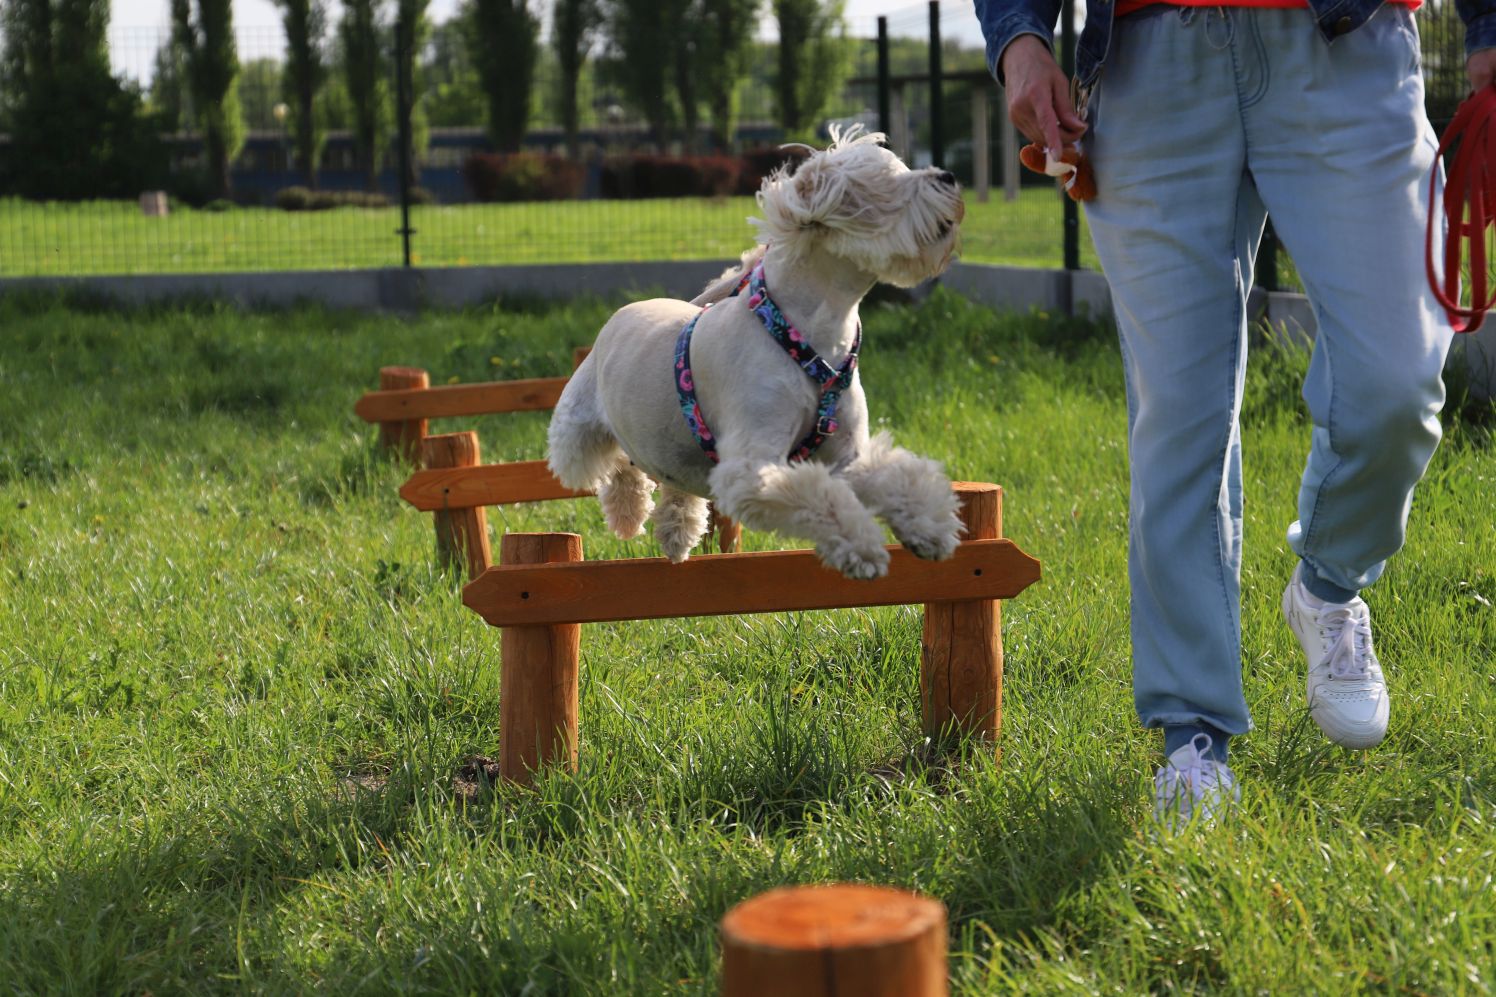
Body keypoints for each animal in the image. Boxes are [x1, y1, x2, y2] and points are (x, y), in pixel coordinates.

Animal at [550, 124, 969, 577]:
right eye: (889, 182)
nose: (949, 176)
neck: (801, 338)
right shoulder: (753, 464)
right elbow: (818, 497)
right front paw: (863, 549)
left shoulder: (846, 455)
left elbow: (895, 479)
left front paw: (930, 529)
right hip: (575, 434)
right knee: (614, 466)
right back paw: (628, 513)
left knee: (672, 482)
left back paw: (677, 532)